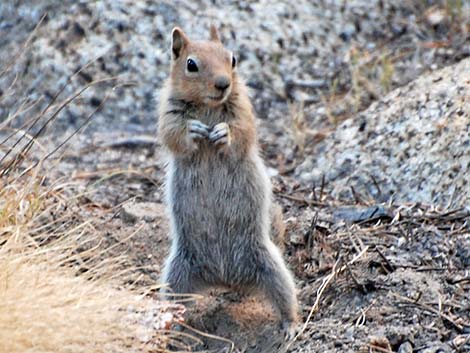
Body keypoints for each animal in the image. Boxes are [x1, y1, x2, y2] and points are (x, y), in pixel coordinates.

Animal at [158, 25, 298, 330]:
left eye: (232, 59)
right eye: (191, 64)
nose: (223, 84)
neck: (207, 106)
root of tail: (226, 280)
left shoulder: (243, 109)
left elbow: (243, 130)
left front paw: (223, 133)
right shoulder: (168, 111)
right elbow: (172, 133)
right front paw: (194, 131)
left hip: (271, 267)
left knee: (285, 296)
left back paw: (290, 325)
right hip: (177, 274)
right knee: (176, 300)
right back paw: (174, 324)